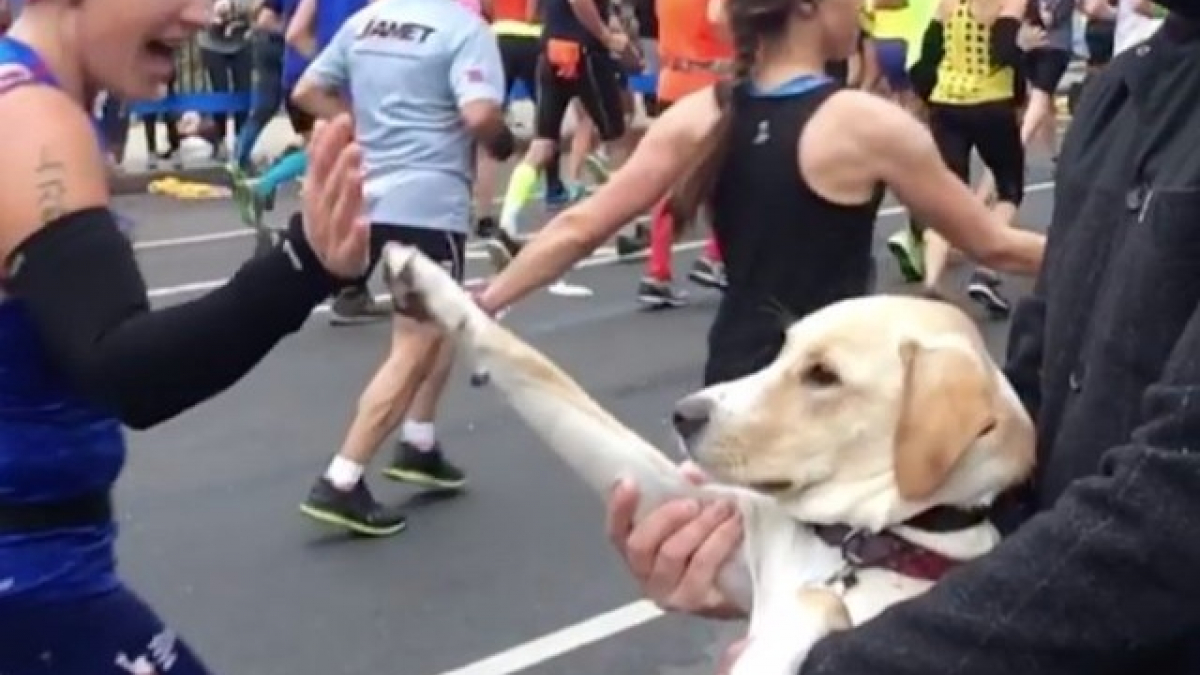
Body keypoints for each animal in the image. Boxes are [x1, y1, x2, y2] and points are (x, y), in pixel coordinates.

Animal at [381, 243, 1032, 667]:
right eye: (783, 348)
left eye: (823, 375)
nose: (683, 414)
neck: (854, 545)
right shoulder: (692, 506)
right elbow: (526, 363)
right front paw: (430, 284)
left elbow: (811, 612)